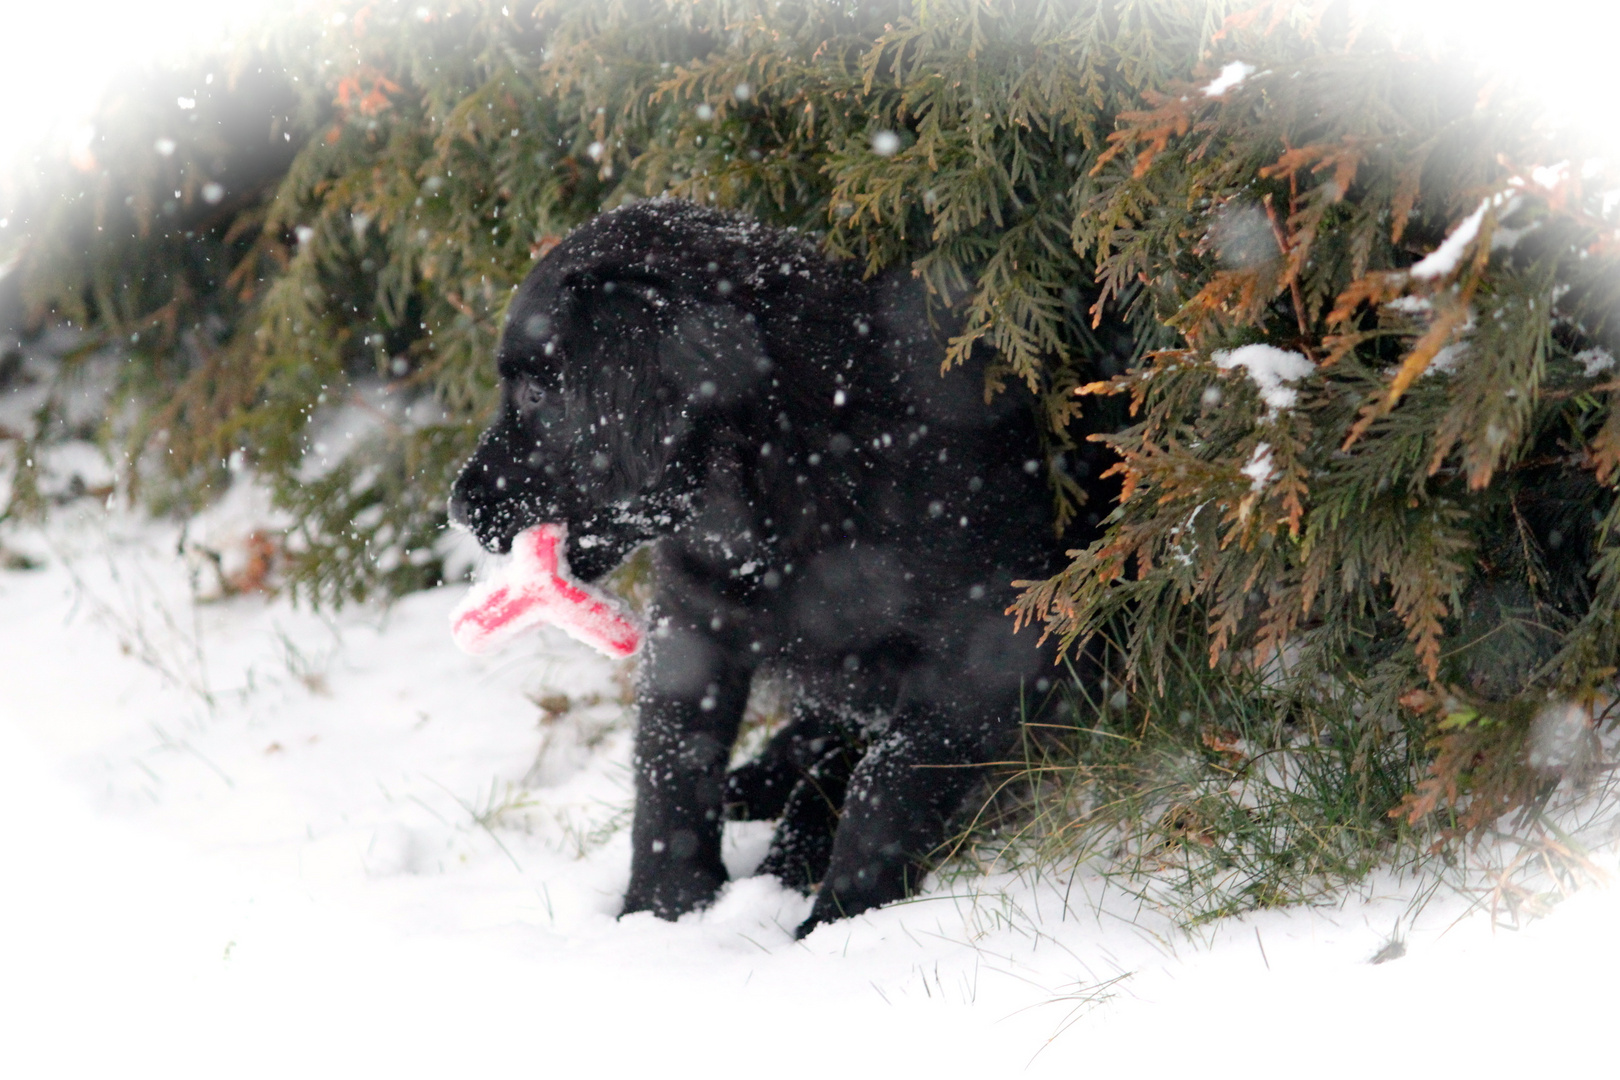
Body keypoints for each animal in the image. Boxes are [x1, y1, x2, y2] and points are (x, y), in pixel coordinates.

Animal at [450, 200, 1121, 939]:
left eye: (536, 395)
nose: (458, 506)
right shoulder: (692, 622)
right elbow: (669, 766)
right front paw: (662, 909)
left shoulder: (995, 649)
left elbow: (888, 779)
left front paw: (839, 919)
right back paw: (754, 794)